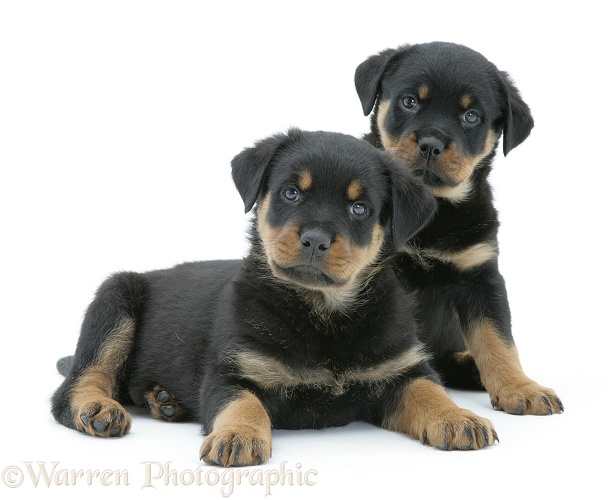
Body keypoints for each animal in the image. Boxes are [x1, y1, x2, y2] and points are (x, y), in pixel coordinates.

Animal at [50, 128, 498, 464]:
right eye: (290, 193)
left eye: (360, 208)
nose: (315, 240)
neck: (323, 312)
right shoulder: (233, 371)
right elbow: (243, 403)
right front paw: (238, 436)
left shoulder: (400, 370)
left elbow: (429, 390)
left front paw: (458, 416)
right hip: (115, 297)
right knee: (75, 386)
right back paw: (99, 409)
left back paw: (164, 400)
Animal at [354, 41, 564, 414]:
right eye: (410, 101)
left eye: (471, 116)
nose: (431, 144)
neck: (434, 212)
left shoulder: (481, 275)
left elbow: (497, 338)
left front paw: (519, 387)